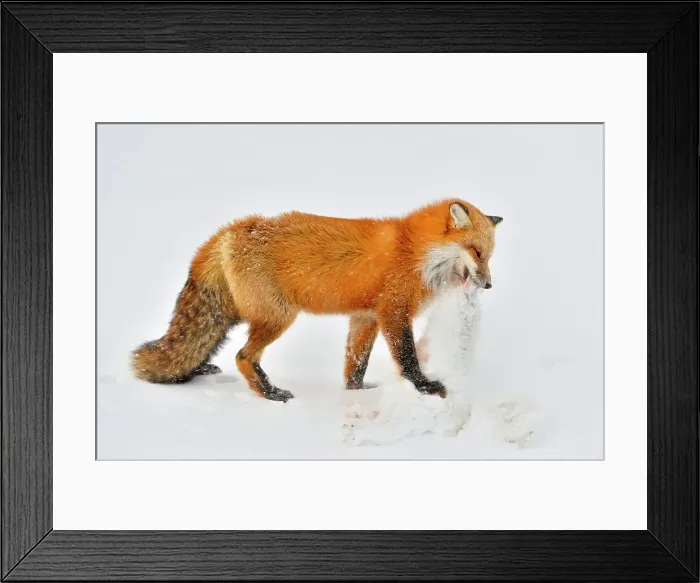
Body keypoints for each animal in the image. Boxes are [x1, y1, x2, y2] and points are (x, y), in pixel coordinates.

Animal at [131, 199, 502, 402]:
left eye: (488, 256)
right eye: (476, 252)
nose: (488, 285)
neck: (413, 252)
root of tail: (233, 228)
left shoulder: (365, 317)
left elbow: (356, 363)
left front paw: (356, 394)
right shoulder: (393, 312)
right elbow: (407, 357)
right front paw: (425, 388)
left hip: (234, 314)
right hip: (278, 317)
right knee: (242, 357)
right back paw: (270, 394)